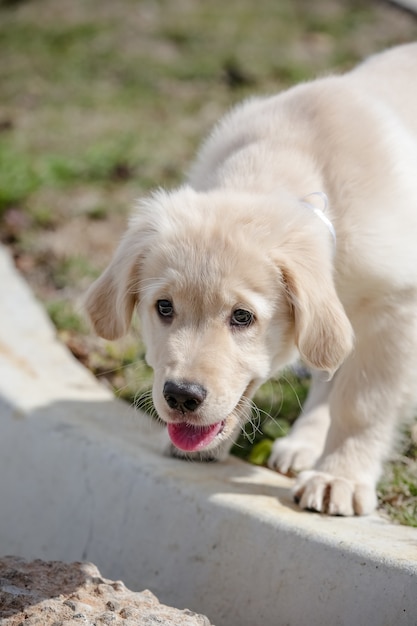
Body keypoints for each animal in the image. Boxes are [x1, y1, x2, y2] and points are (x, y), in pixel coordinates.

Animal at [86, 41, 416, 516]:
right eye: (163, 307)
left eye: (242, 317)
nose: (181, 397)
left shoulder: (393, 308)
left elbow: (361, 402)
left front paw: (340, 476)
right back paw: (302, 443)